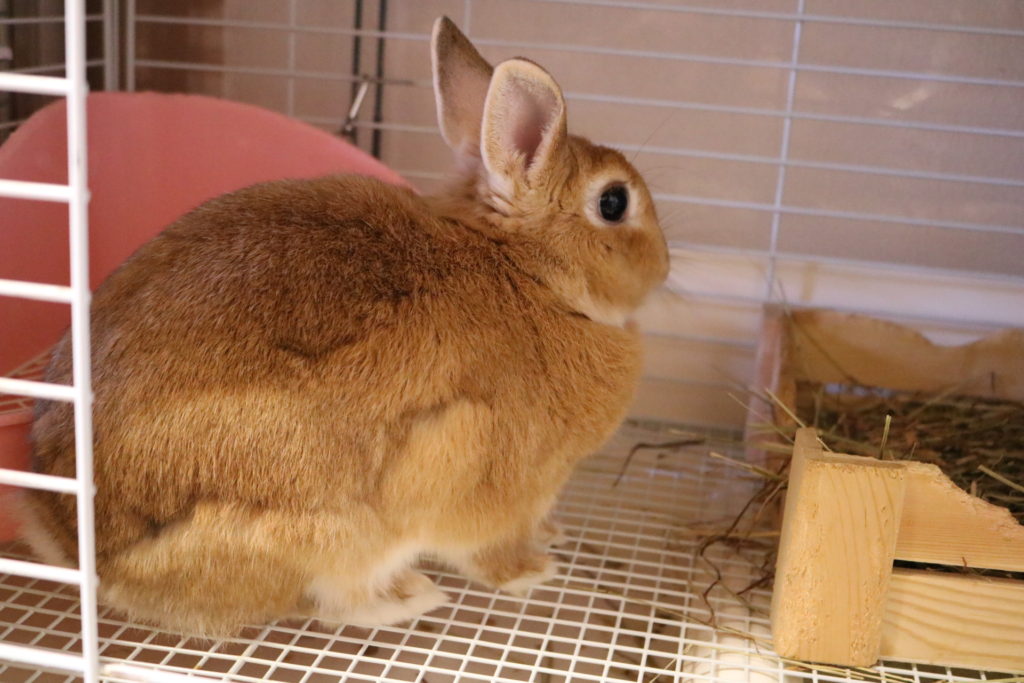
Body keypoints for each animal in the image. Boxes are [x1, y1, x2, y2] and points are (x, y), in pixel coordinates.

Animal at [22, 16, 669, 636]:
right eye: (614, 203)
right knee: (336, 602)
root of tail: (83, 552)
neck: (524, 271)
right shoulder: (494, 485)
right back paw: (412, 597)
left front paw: (552, 535)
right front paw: (534, 571)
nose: (665, 265)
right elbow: (488, 551)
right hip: (337, 535)